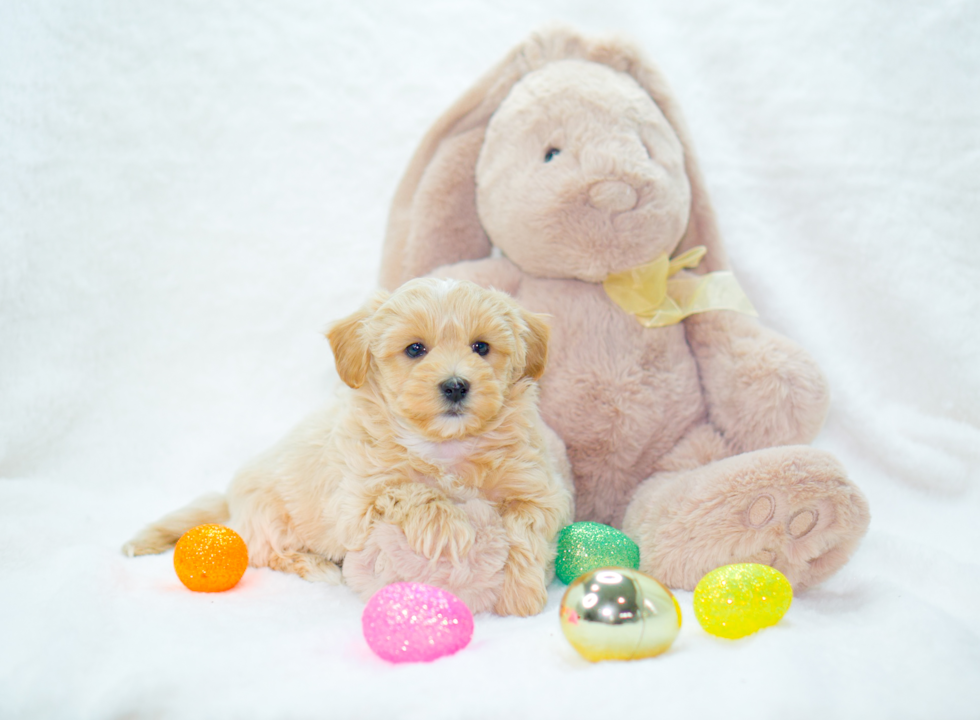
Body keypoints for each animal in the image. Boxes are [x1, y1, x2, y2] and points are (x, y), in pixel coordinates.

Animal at [127, 278, 580, 616]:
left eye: (481, 347)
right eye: (415, 349)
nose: (455, 385)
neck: (446, 447)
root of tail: (230, 499)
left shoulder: (541, 491)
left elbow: (525, 530)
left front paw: (522, 592)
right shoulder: (357, 501)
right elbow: (410, 490)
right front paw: (449, 526)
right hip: (270, 516)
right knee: (268, 552)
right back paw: (317, 566)